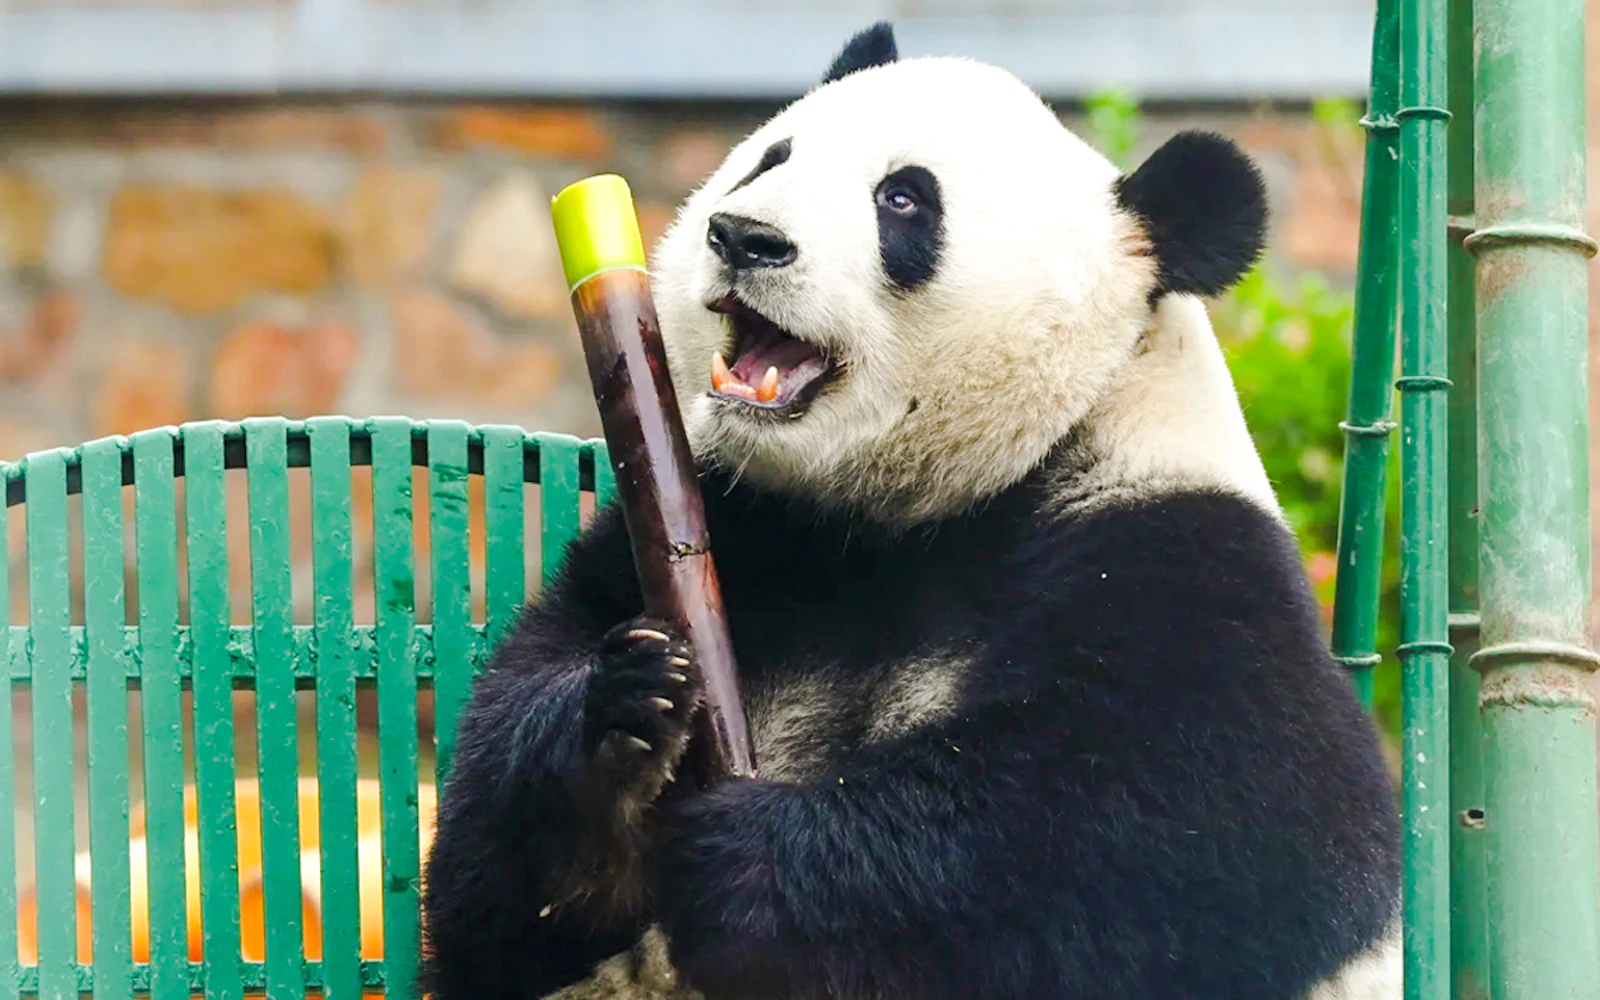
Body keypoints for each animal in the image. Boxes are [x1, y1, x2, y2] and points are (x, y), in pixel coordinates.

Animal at [420, 21, 1402, 1000]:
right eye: (771, 157)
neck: (913, 508)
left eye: (903, 200)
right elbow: (490, 897)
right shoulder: (737, 521)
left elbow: (1221, 824)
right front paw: (618, 721)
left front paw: (754, 863)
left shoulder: (1174, 549)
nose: (743, 236)